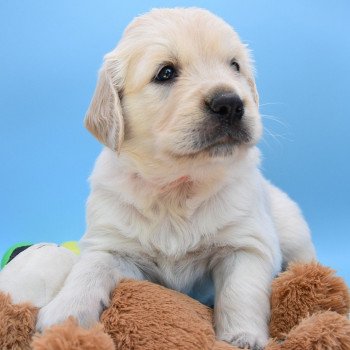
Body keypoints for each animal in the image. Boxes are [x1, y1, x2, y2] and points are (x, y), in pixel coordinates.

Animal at [37, 8, 316, 350]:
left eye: (235, 66)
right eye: (166, 73)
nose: (230, 103)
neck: (178, 185)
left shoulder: (246, 244)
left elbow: (241, 291)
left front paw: (242, 336)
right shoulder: (111, 243)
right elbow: (88, 269)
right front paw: (65, 313)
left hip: (293, 230)